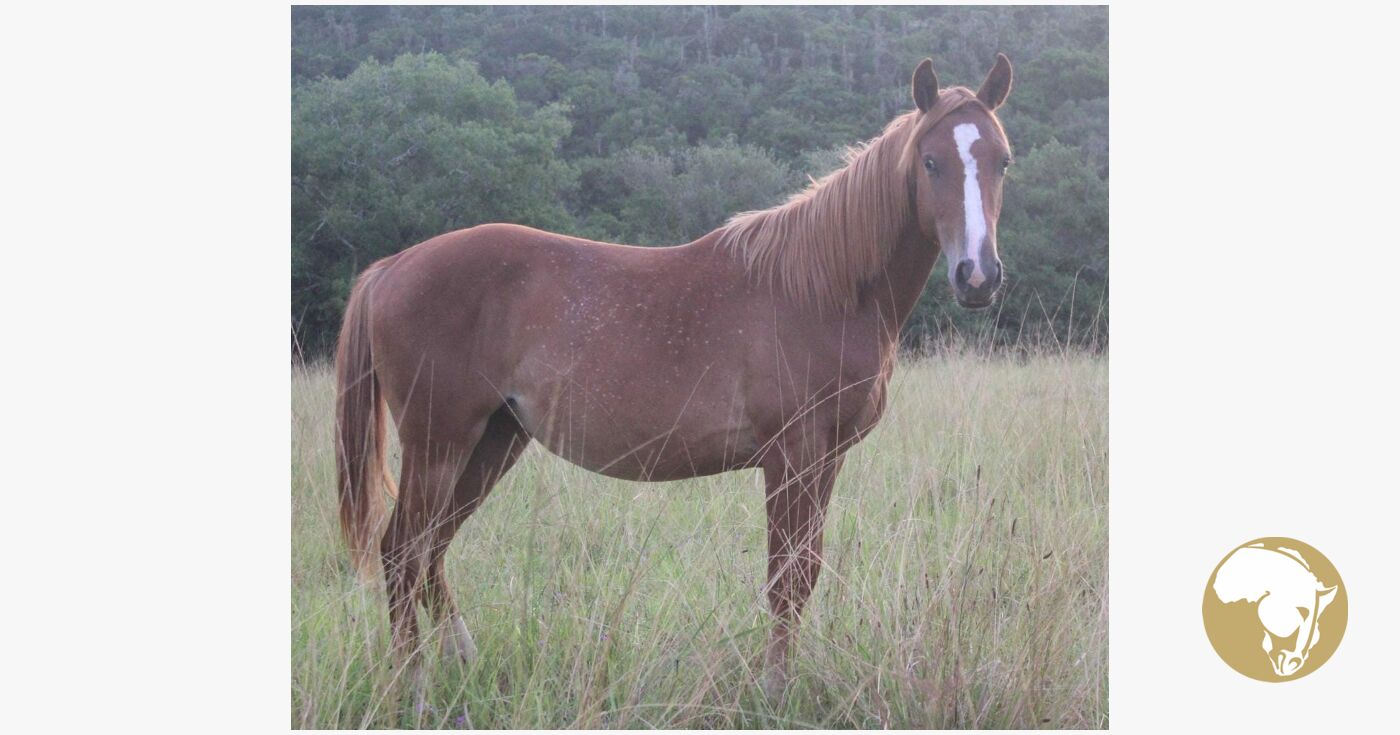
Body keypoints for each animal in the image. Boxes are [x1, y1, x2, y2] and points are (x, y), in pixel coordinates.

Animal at [334, 54, 1015, 700]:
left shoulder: (827, 458)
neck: (820, 289)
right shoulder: (791, 456)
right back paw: (414, 686)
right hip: (439, 443)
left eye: (1002, 161)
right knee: (402, 552)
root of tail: (392, 267)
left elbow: (807, 572)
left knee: (430, 554)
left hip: (492, 442)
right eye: (930, 161)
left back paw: (462, 661)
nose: (978, 277)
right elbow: (786, 578)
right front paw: (775, 690)